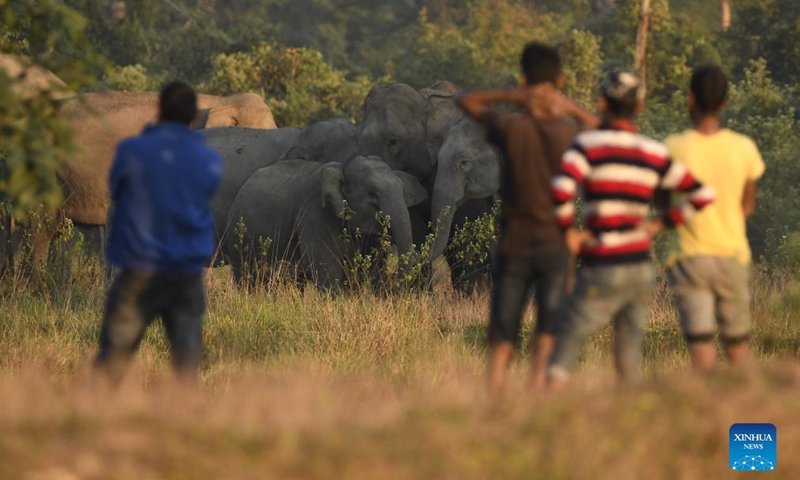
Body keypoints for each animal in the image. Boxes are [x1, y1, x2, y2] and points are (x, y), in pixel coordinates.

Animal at [228, 156, 428, 286]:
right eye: (372, 193)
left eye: (402, 190)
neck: (343, 168)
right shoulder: (314, 215)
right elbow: (325, 266)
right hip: (239, 240)